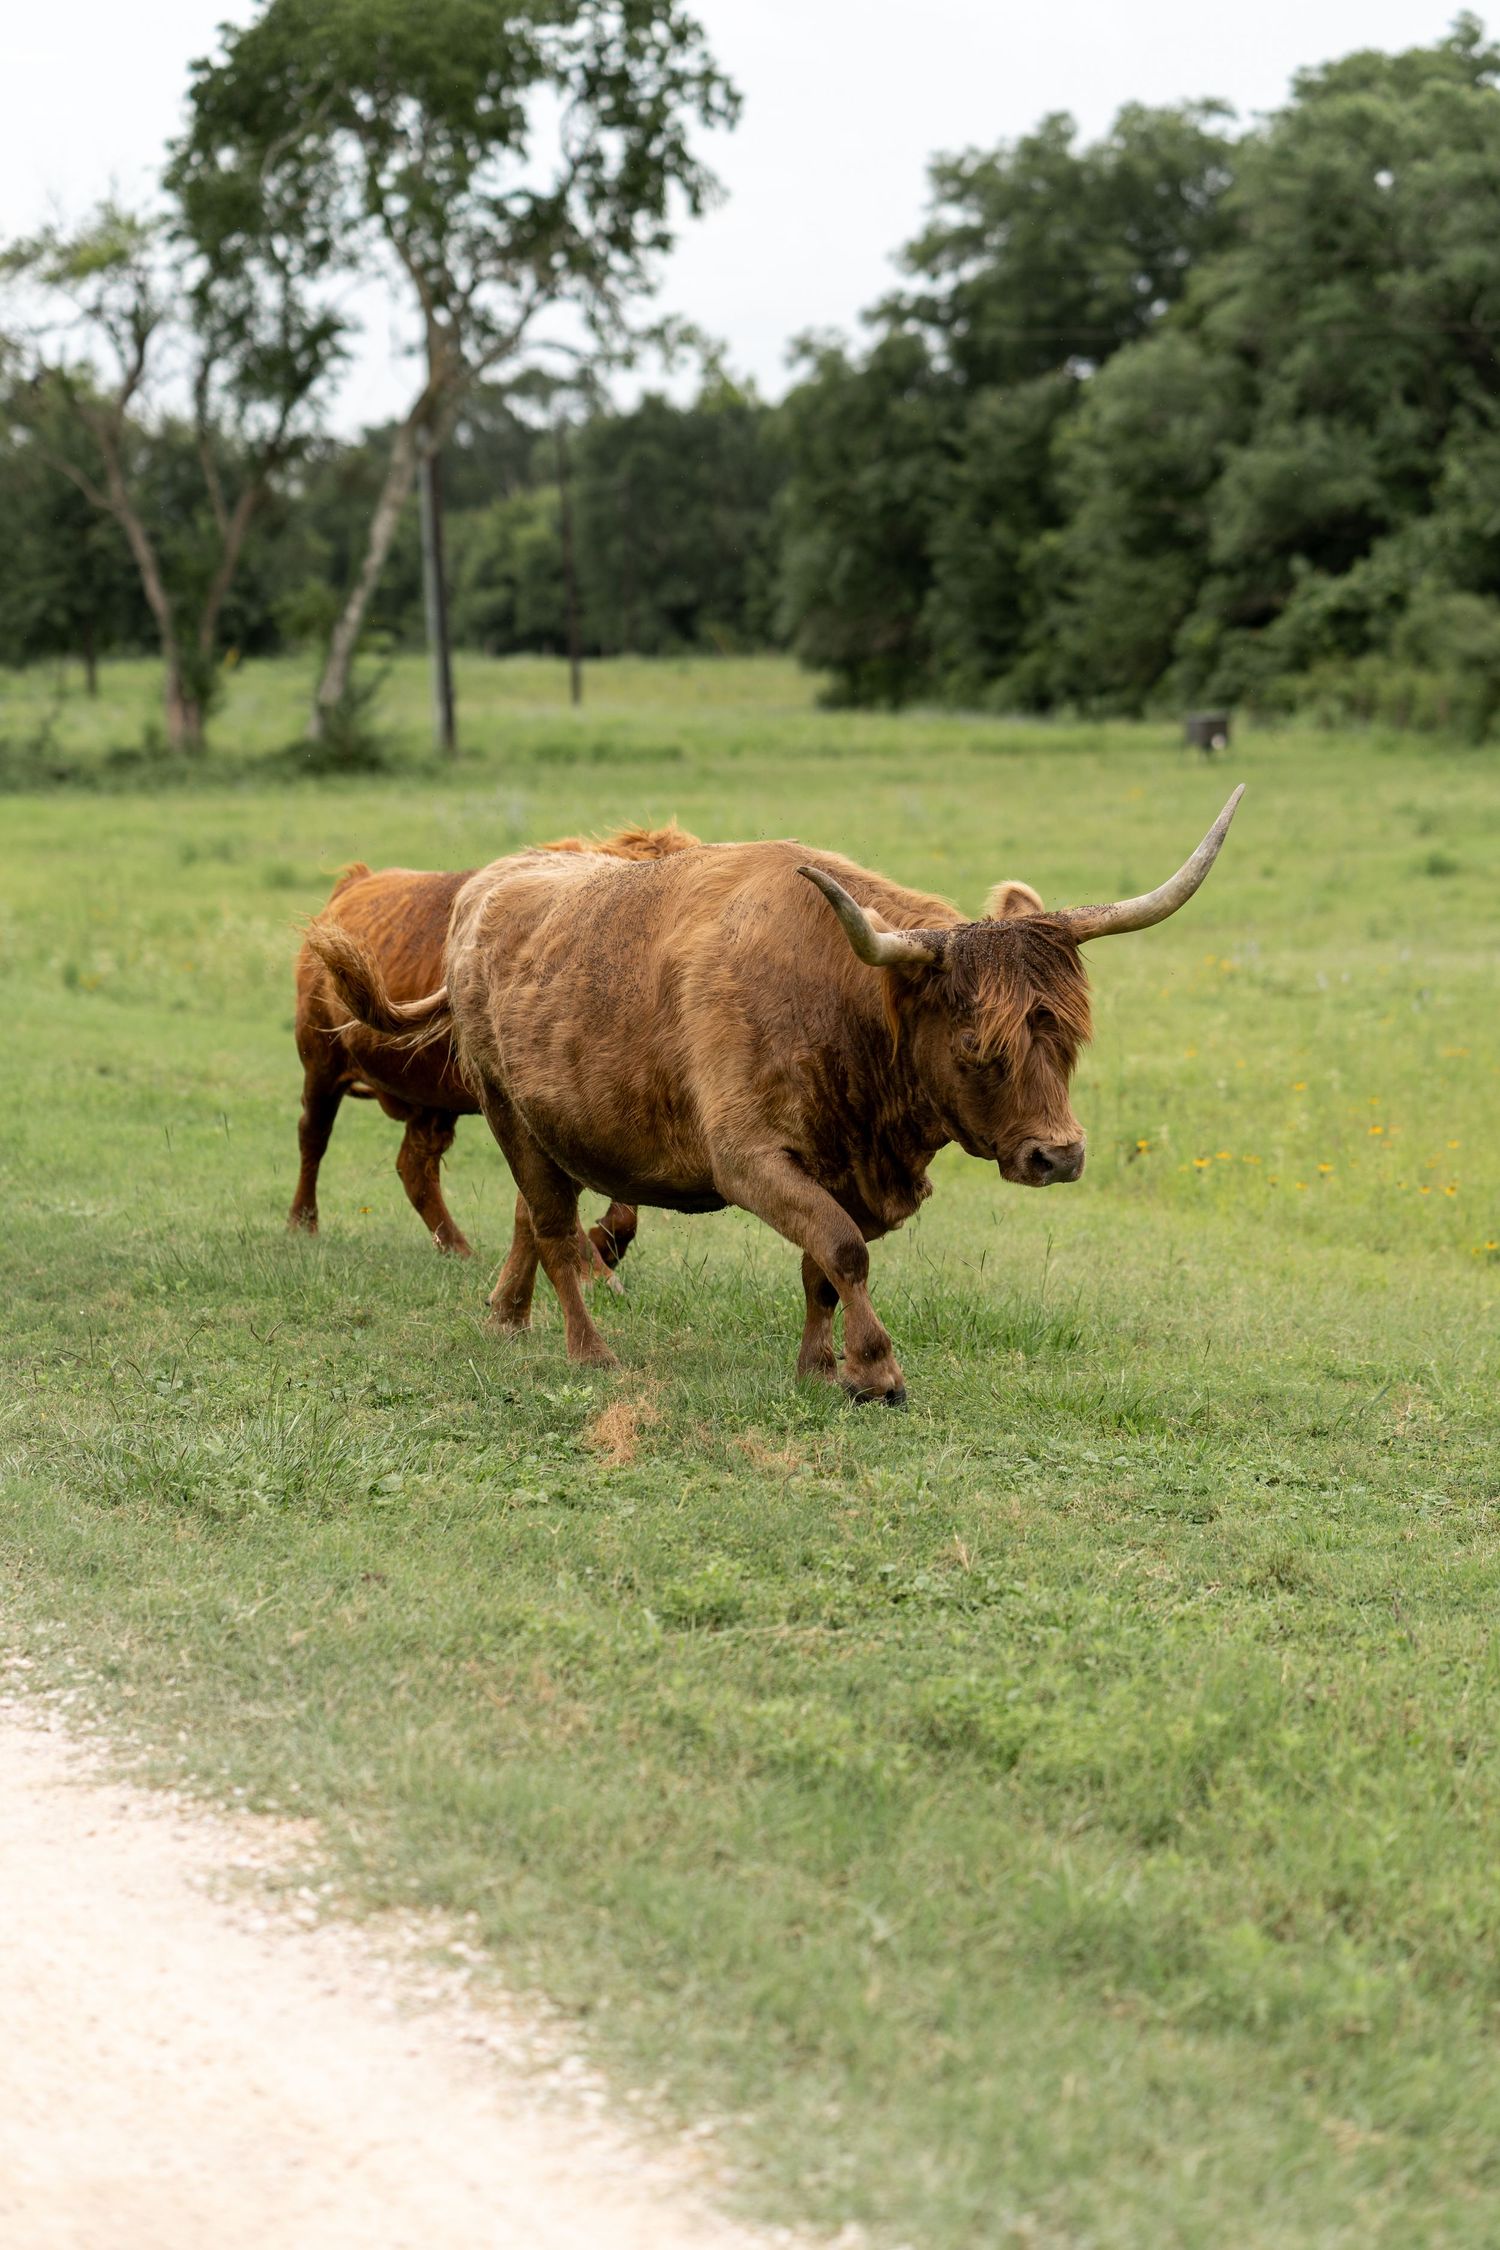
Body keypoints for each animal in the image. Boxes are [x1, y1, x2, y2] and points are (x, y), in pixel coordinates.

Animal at [288, 825, 699, 1274]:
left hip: (431, 1102)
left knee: (414, 1166)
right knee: (313, 1136)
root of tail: (352, 887)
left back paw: (458, 1249)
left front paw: (601, 1249)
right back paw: (302, 1224)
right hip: (321, 1061)